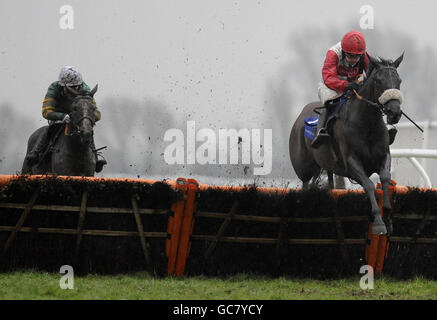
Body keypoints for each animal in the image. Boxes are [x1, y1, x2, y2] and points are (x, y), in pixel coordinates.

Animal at [288, 53, 404, 235]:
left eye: (399, 80)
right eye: (378, 81)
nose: (394, 112)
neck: (367, 124)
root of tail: (300, 117)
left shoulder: (384, 155)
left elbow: (385, 178)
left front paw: (387, 217)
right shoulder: (351, 162)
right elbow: (369, 185)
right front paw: (378, 222)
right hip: (303, 169)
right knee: (305, 186)